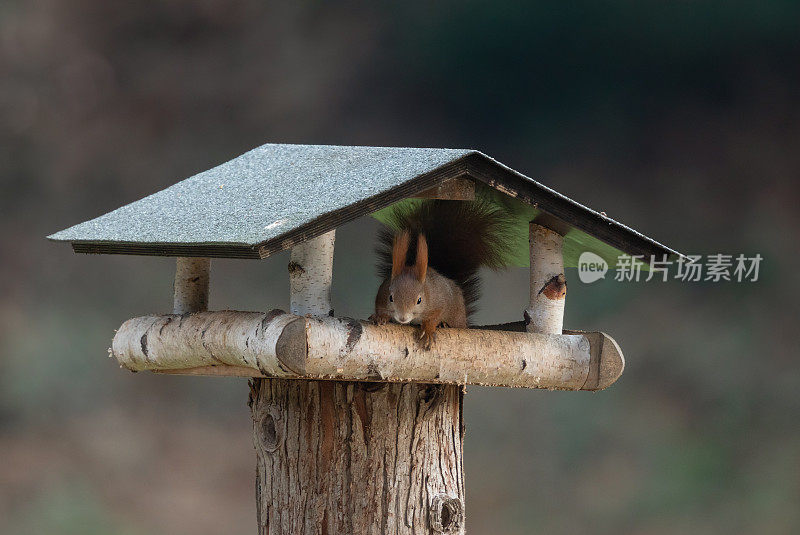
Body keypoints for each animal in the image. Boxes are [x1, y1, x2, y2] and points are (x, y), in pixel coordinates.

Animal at [370, 199, 512, 350]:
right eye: (391, 298)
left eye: (419, 300)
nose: (403, 318)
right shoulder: (382, 292)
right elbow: (380, 308)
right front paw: (380, 317)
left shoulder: (439, 301)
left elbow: (434, 316)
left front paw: (428, 329)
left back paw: (444, 324)